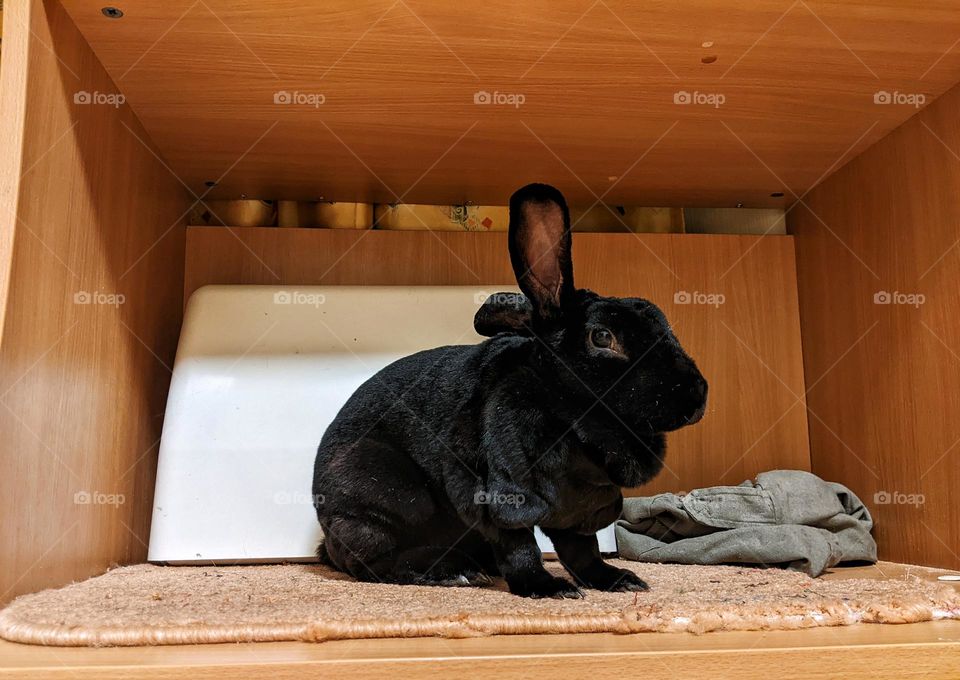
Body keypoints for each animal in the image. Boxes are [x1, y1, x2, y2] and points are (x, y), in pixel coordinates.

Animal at [313, 183, 707, 598]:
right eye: (602, 337)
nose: (697, 395)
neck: (571, 415)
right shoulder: (502, 492)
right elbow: (521, 547)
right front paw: (548, 588)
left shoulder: (581, 506)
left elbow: (582, 550)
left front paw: (617, 580)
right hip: (387, 495)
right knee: (367, 561)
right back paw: (453, 571)